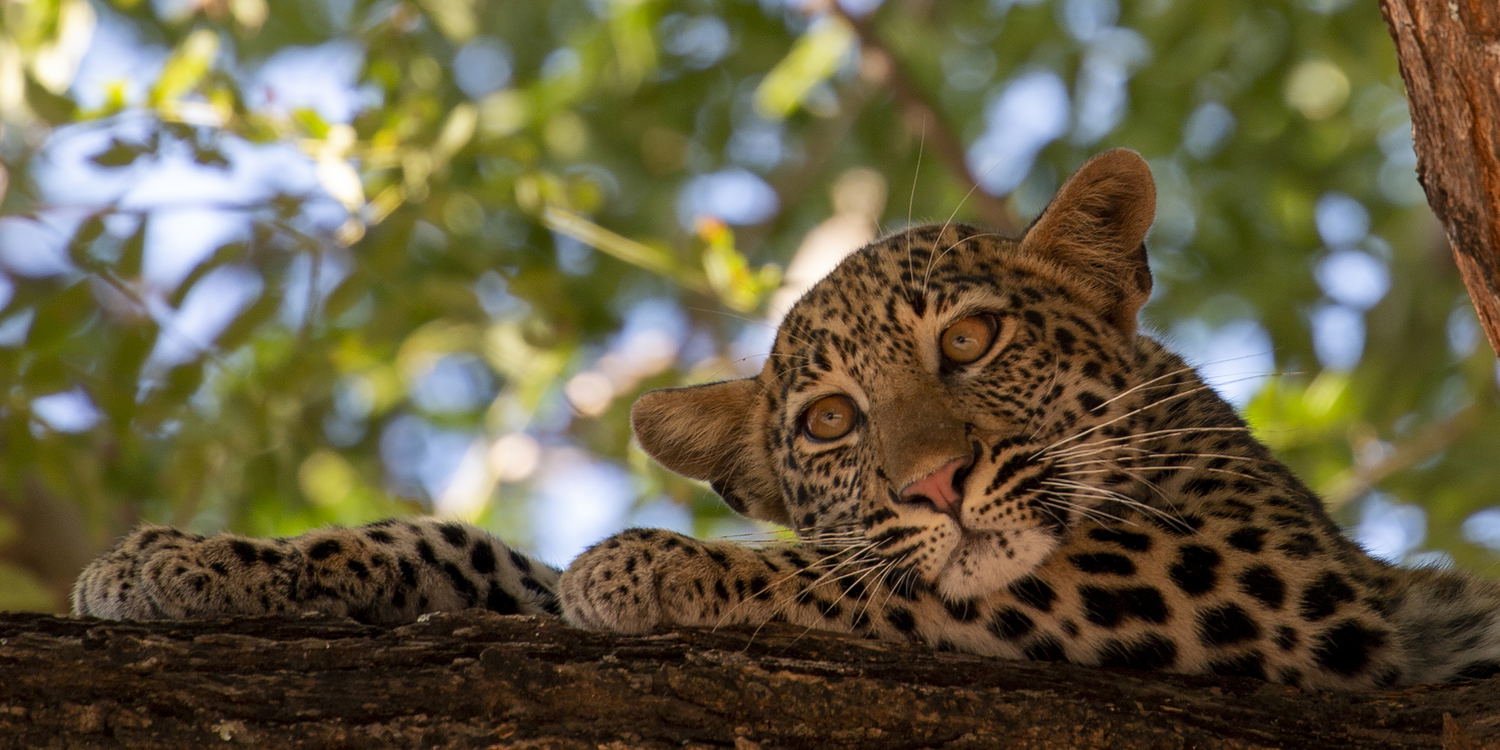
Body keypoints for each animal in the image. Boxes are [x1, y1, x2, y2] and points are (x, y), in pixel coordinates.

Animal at [72, 149, 1500, 690]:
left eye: (969, 341)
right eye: (825, 422)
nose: (934, 485)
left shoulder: (1283, 581)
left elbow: (887, 579)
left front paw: (650, 564)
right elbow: (468, 552)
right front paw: (183, 563)